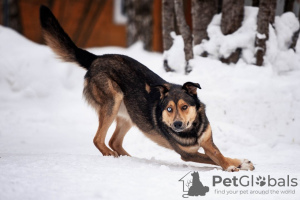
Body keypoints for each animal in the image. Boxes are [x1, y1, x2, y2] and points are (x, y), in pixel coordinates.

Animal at [39, 6, 254, 172]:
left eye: (185, 107)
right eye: (169, 109)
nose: (177, 124)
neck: (191, 130)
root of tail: (96, 58)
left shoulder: (208, 142)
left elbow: (218, 154)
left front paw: (239, 162)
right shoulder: (186, 154)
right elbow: (213, 158)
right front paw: (231, 166)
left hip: (129, 114)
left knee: (114, 141)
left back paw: (129, 158)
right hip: (113, 100)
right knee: (99, 140)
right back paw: (112, 156)